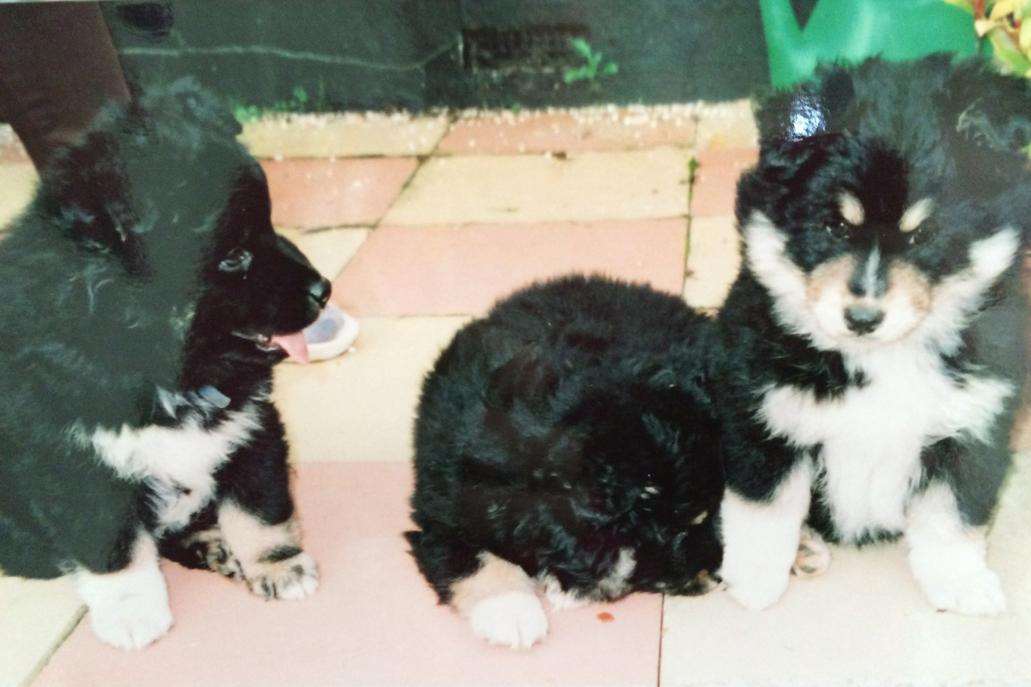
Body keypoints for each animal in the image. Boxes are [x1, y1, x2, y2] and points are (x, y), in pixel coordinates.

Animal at [0, 80, 329, 647]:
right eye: (233, 256)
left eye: (268, 225)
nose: (323, 290)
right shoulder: (75, 465)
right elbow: (114, 550)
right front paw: (132, 613)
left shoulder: (250, 426)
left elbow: (258, 505)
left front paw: (278, 564)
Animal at [717, 53, 1031, 610]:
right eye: (835, 227)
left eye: (923, 235)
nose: (862, 318)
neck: (882, 359)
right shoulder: (763, 415)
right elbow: (764, 507)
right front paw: (754, 581)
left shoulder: (968, 428)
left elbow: (951, 518)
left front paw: (962, 584)